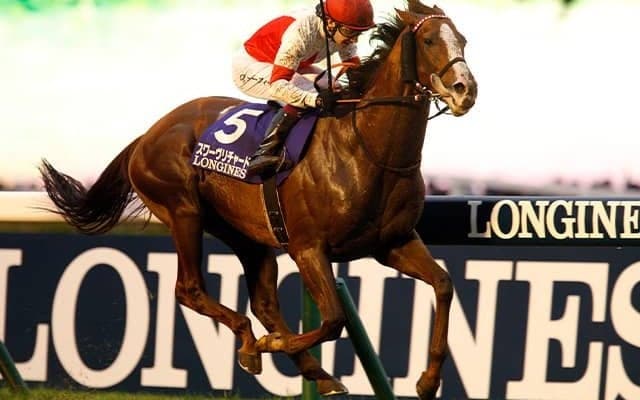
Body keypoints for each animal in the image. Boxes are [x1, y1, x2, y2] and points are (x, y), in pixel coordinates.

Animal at [40, 1, 477, 398]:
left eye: (463, 40)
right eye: (429, 40)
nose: (465, 90)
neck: (367, 149)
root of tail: (147, 135)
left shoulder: (392, 243)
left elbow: (443, 284)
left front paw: (428, 380)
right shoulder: (308, 248)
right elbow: (333, 320)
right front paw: (274, 344)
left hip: (246, 234)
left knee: (264, 303)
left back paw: (313, 371)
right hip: (183, 211)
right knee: (190, 289)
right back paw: (255, 344)